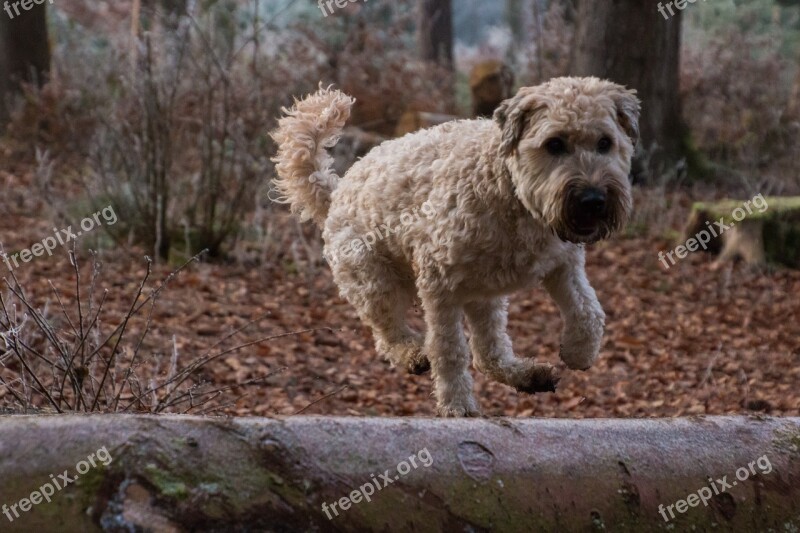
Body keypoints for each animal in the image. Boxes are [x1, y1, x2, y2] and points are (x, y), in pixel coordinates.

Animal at [272, 76, 640, 416]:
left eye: (605, 142)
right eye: (554, 143)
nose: (593, 200)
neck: (508, 189)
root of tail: (337, 191)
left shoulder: (563, 264)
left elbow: (588, 309)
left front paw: (579, 352)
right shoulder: (439, 284)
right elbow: (449, 349)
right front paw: (457, 405)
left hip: (484, 294)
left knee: (488, 353)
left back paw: (528, 375)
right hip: (375, 282)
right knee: (390, 335)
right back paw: (413, 354)